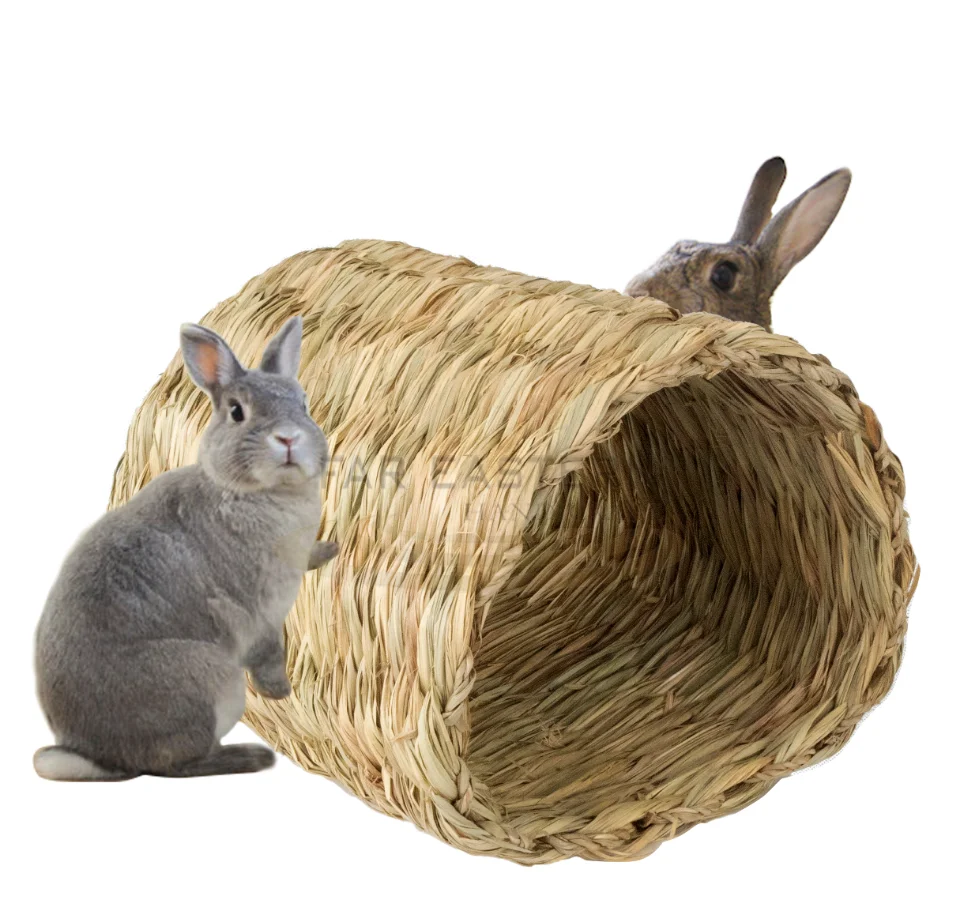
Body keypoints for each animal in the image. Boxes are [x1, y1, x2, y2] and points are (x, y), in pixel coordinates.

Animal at [34, 315, 339, 780]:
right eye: (237, 411)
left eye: (304, 404)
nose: (287, 439)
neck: (255, 492)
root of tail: (103, 757)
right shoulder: (259, 612)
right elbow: (270, 654)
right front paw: (282, 694)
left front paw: (331, 549)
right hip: (215, 686)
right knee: (178, 764)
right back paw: (251, 757)